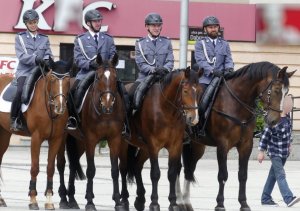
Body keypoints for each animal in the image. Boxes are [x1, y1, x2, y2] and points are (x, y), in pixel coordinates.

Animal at [0, 58, 70, 209]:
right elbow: (35, 167)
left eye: (68, 80)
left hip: (4, 134)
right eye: (53, 79)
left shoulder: (56, 139)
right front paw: (33, 199)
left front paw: (49, 200)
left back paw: (1, 199)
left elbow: (50, 168)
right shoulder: (36, 138)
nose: (60, 107)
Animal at [56, 53, 127, 211]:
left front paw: (118, 202)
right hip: (64, 138)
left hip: (79, 141)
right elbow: (90, 170)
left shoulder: (115, 139)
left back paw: (72, 199)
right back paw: (63, 198)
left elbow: (115, 171)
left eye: (115, 77)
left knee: (73, 164)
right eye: (98, 77)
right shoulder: (91, 140)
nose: (107, 104)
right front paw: (89, 202)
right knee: (61, 164)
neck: (105, 114)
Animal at [118, 67, 203, 211]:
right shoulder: (154, 146)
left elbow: (172, 173)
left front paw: (173, 203)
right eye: (185, 91)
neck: (167, 110)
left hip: (144, 148)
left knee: (136, 165)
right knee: (123, 168)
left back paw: (140, 199)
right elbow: (155, 173)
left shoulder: (175, 146)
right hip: (123, 144)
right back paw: (124, 200)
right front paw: (154, 203)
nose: (194, 118)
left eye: (199, 91)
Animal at [177, 61, 296, 211]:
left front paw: (243, 203)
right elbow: (223, 175)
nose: (274, 120)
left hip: (197, 146)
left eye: (287, 91)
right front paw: (220, 203)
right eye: (276, 90)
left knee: (189, 170)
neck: (236, 104)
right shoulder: (223, 145)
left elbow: (243, 175)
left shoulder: (246, 145)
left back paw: (185, 202)